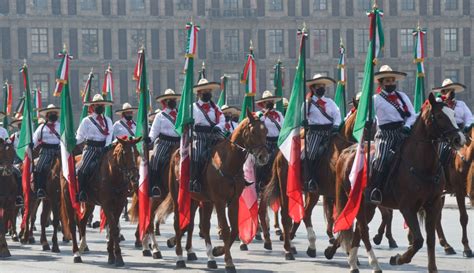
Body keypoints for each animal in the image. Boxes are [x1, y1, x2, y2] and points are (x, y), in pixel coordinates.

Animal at [156, 109, 268, 272]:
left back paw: (206, 257)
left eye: (266, 131)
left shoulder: (233, 201)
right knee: (178, 223)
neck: (228, 163)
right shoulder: (220, 202)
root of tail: (177, 153)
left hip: (199, 200)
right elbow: (226, 229)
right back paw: (180, 257)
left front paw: (217, 251)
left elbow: (234, 229)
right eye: (253, 132)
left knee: (199, 225)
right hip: (179, 196)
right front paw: (229, 262)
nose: (264, 157)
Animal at [336, 92, 464, 270]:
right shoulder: (407, 207)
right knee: (363, 230)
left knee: (359, 231)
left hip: (368, 205)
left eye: (453, 113)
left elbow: (430, 240)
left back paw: (354, 264)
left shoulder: (433, 204)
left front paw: (432, 267)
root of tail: (347, 151)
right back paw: (373, 264)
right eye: (439, 116)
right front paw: (397, 259)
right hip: (359, 202)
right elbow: (418, 241)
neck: (422, 164)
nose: (459, 139)